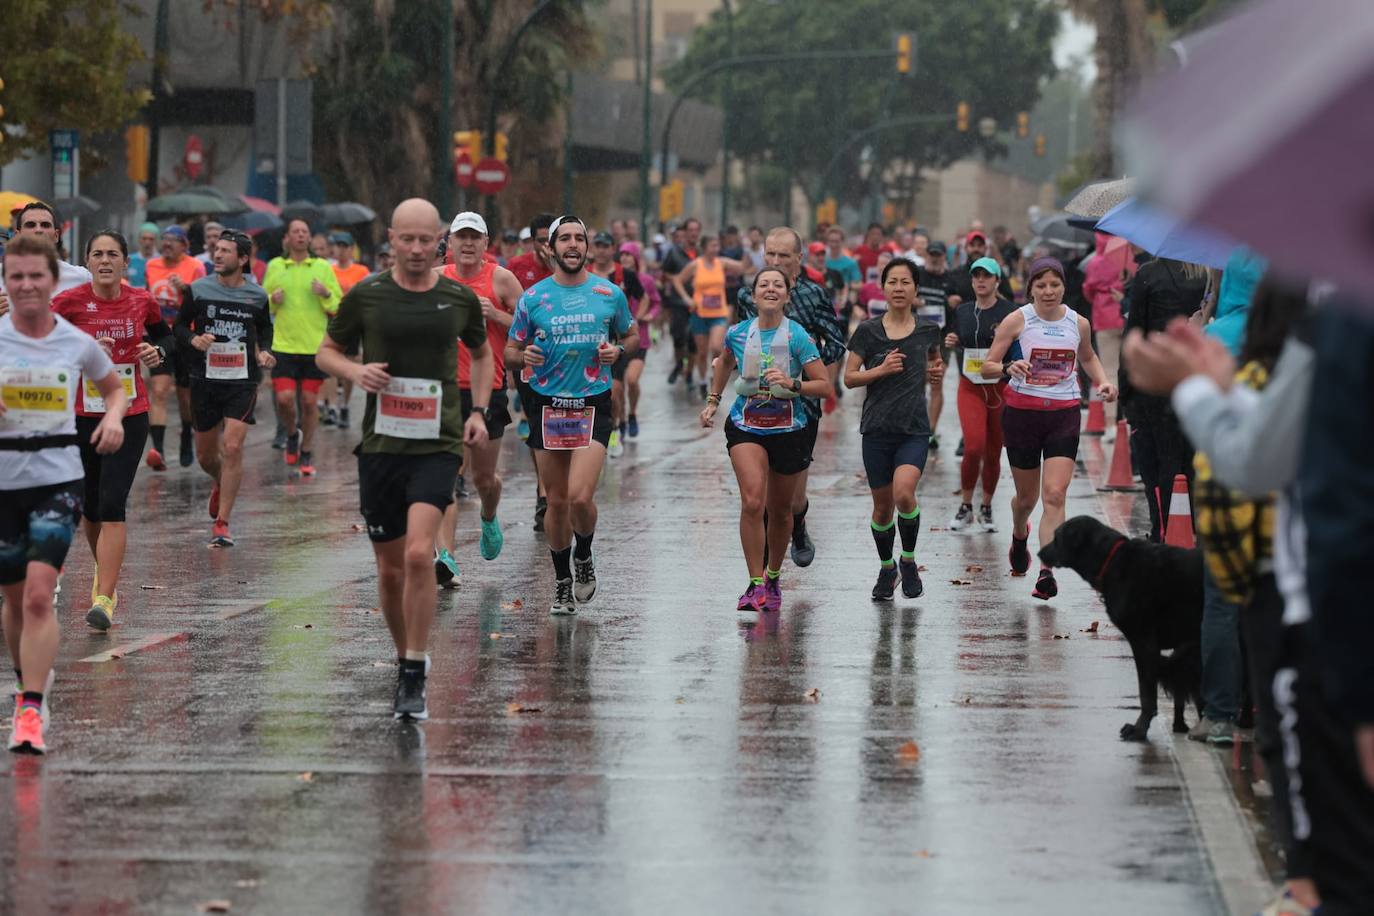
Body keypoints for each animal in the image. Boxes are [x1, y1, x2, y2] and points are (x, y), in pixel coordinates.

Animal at [1038, 519, 1203, 741]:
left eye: (1057, 537)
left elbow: (1147, 693)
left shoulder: (1144, 642)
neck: (1111, 560)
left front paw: (1139, 729)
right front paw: (1179, 724)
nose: (1039, 553)